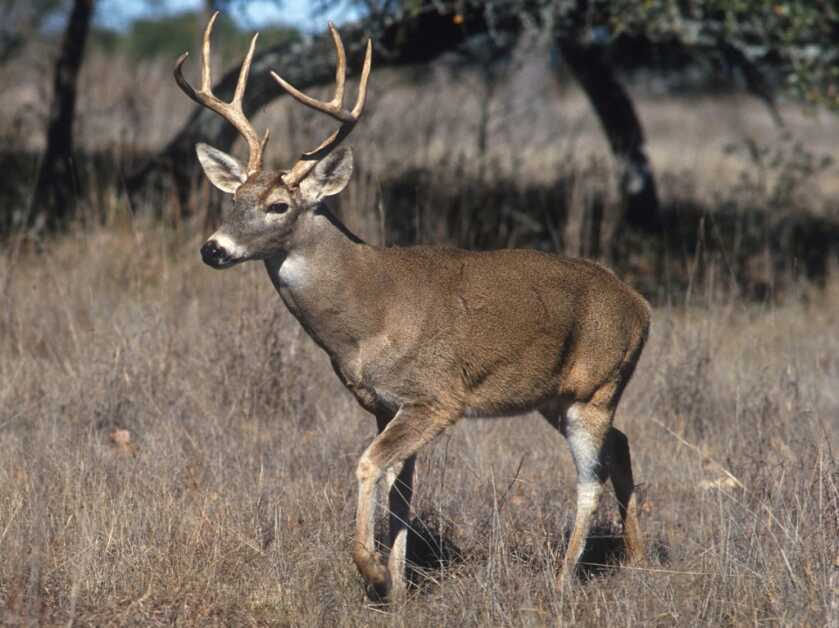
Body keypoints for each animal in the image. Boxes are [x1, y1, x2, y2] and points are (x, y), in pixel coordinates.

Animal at [175, 12, 651, 601]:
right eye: (233, 199)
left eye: (278, 205)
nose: (213, 249)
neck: (367, 315)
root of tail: (642, 306)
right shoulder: (385, 403)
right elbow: (401, 490)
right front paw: (400, 585)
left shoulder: (435, 397)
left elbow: (368, 466)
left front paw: (374, 571)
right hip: (558, 396)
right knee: (622, 446)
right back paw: (636, 559)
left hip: (596, 386)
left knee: (591, 477)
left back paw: (563, 580)